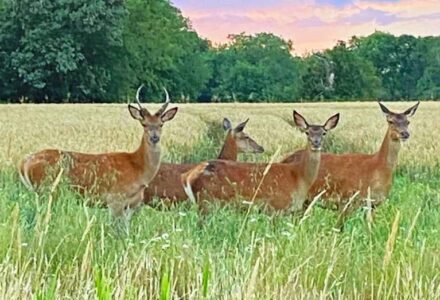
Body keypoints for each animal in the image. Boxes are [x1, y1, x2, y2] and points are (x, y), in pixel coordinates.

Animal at [18, 85, 177, 217]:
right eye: (144, 124)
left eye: (161, 124)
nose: (154, 137)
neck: (137, 168)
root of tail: (24, 163)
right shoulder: (116, 199)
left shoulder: (131, 205)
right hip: (46, 189)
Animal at [182, 110, 340, 213]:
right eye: (307, 132)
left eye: (324, 133)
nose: (316, 143)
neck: (298, 176)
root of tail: (188, 177)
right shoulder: (276, 206)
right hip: (207, 202)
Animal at [282, 102, 420, 223]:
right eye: (390, 121)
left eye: (408, 122)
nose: (405, 133)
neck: (376, 168)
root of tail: (285, 158)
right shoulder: (345, 200)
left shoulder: (373, 205)